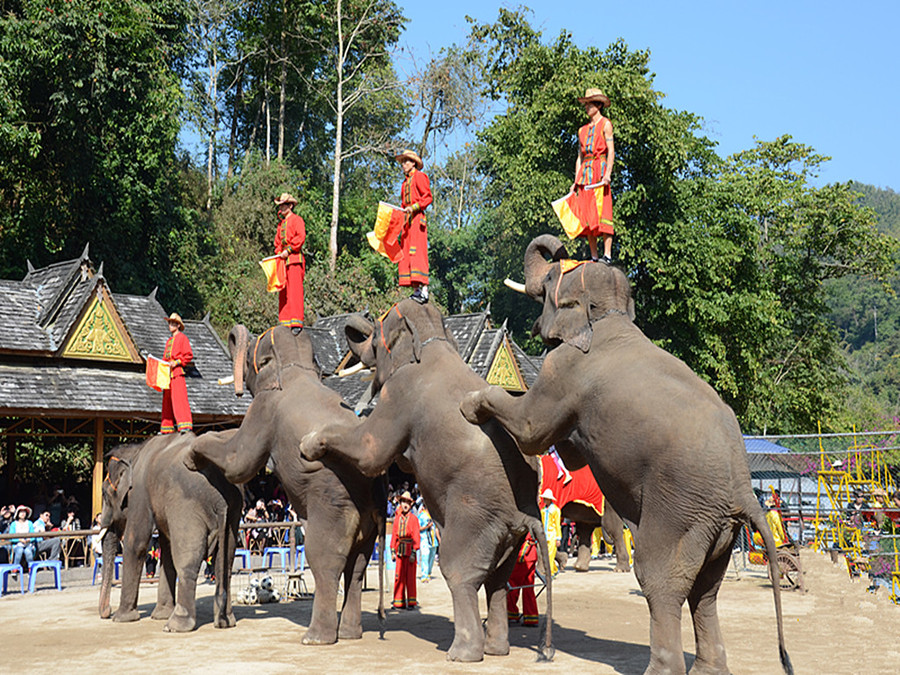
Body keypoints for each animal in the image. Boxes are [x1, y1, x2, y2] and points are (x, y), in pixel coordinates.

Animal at [98, 434, 241, 632]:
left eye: (104, 494)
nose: (106, 612)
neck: (136, 450)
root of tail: (221, 497)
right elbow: (166, 549)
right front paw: (159, 615)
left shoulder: (140, 492)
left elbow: (137, 543)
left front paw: (121, 618)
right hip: (233, 514)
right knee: (225, 564)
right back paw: (225, 623)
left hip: (187, 507)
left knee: (187, 561)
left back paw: (175, 626)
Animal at [186, 324, 386, 648]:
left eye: (254, 356)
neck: (297, 366)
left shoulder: (264, 409)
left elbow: (239, 462)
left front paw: (191, 456)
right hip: (369, 519)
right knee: (357, 566)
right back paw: (350, 634)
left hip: (333, 507)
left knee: (325, 561)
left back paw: (315, 639)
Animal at [302, 298, 552, 664]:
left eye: (376, 340)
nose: (359, 319)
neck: (433, 336)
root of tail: (524, 512)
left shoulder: (400, 394)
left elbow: (371, 451)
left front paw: (307, 445)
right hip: (512, 536)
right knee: (498, 579)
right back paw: (496, 650)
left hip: (476, 516)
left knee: (460, 571)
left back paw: (461, 654)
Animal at [460, 234, 792, 675]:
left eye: (548, 281)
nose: (561, 245)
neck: (612, 315)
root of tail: (742, 489)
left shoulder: (562, 370)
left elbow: (531, 430)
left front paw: (469, 405)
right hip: (718, 526)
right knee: (707, 589)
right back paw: (708, 668)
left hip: (680, 512)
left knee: (660, 579)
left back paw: (660, 669)